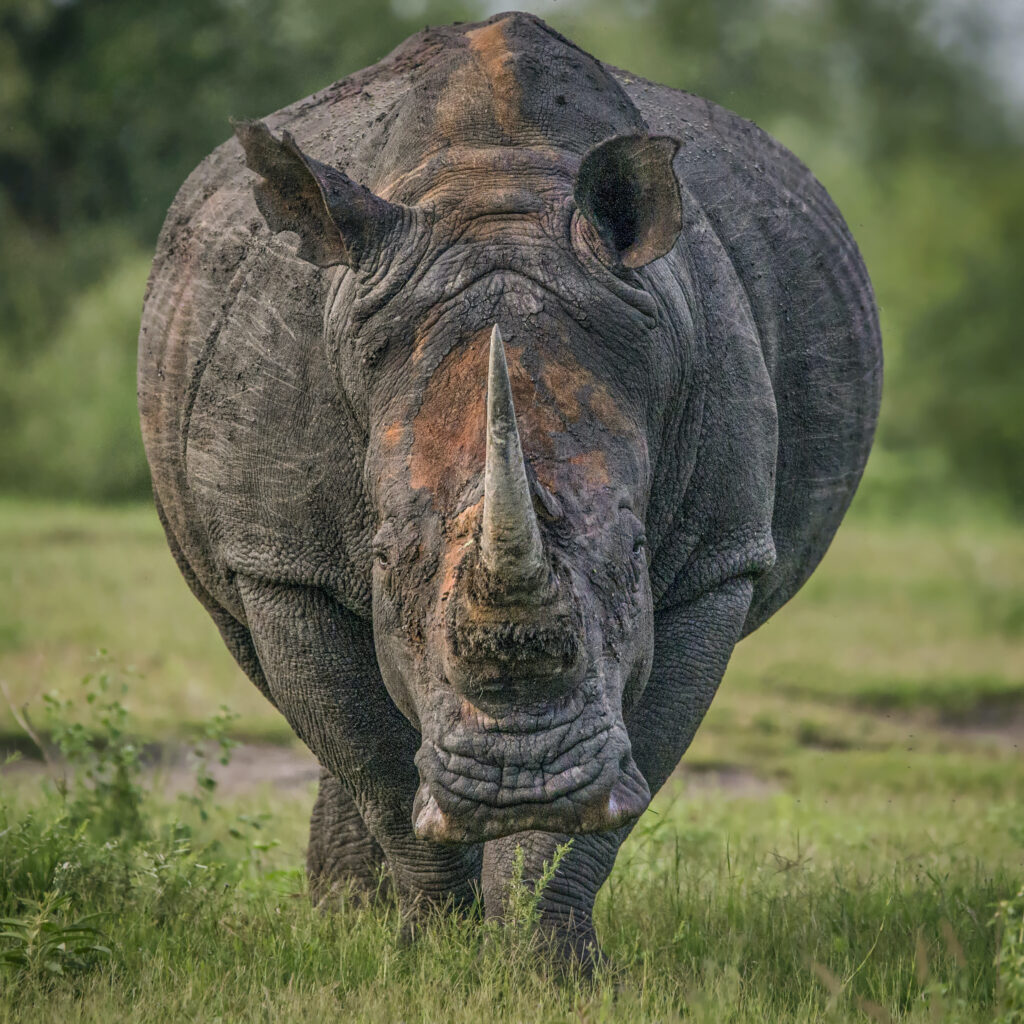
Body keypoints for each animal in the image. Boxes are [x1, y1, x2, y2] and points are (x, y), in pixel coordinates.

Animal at [138, 11, 881, 962]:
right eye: (383, 555)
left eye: (637, 550)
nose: (519, 780)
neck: (495, 184)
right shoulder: (278, 560)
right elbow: (379, 768)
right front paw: (437, 956)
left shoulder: (718, 561)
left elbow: (621, 778)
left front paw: (547, 961)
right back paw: (346, 917)